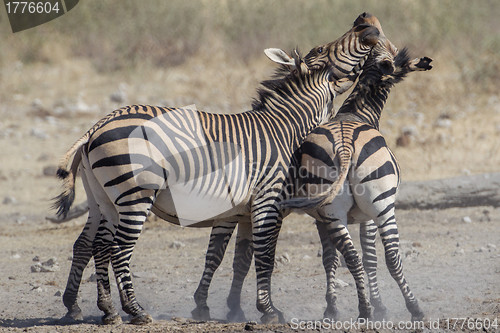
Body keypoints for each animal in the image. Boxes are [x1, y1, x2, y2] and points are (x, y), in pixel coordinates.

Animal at [53, 22, 378, 322]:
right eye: (324, 50)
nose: (367, 30)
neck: (285, 129)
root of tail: (99, 124)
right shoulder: (267, 199)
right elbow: (265, 255)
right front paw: (269, 310)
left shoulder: (240, 210)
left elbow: (231, 257)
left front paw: (225, 308)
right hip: (135, 194)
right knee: (118, 248)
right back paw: (135, 310)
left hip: (103, 199)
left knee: (91, 244)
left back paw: (96, 309)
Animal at [280, 40, 432, 320]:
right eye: (399, 59)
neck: (354, 113)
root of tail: (344, 146)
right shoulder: (366, 217)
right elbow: (371, 258)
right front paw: (380, 305)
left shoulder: (321, 218)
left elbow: (330, 258)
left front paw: (331, 308)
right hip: (381, 206)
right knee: (391, 256)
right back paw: (413, 307)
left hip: (332, 209)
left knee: (351, 257)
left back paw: (364, 308)